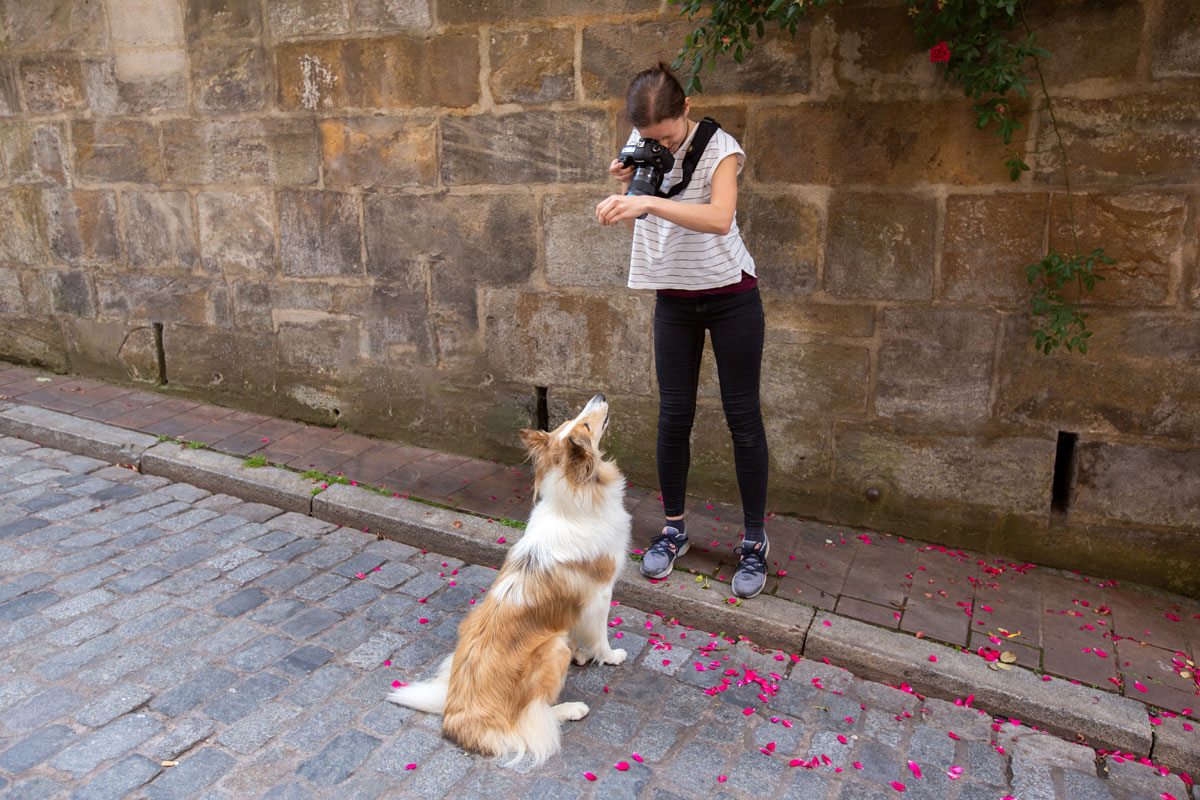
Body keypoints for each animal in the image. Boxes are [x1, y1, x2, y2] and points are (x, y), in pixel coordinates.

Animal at [388, 393, 633, 762]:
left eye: (576, 422)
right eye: (586, 427)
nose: (600, 396)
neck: (574, 499)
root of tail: (459, 717)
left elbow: (579, 628)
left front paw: (583, 652)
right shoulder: (601, 593)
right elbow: (600, 634)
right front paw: (609, 657)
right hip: (551, 650)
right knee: (531, 716)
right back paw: (571, 709)